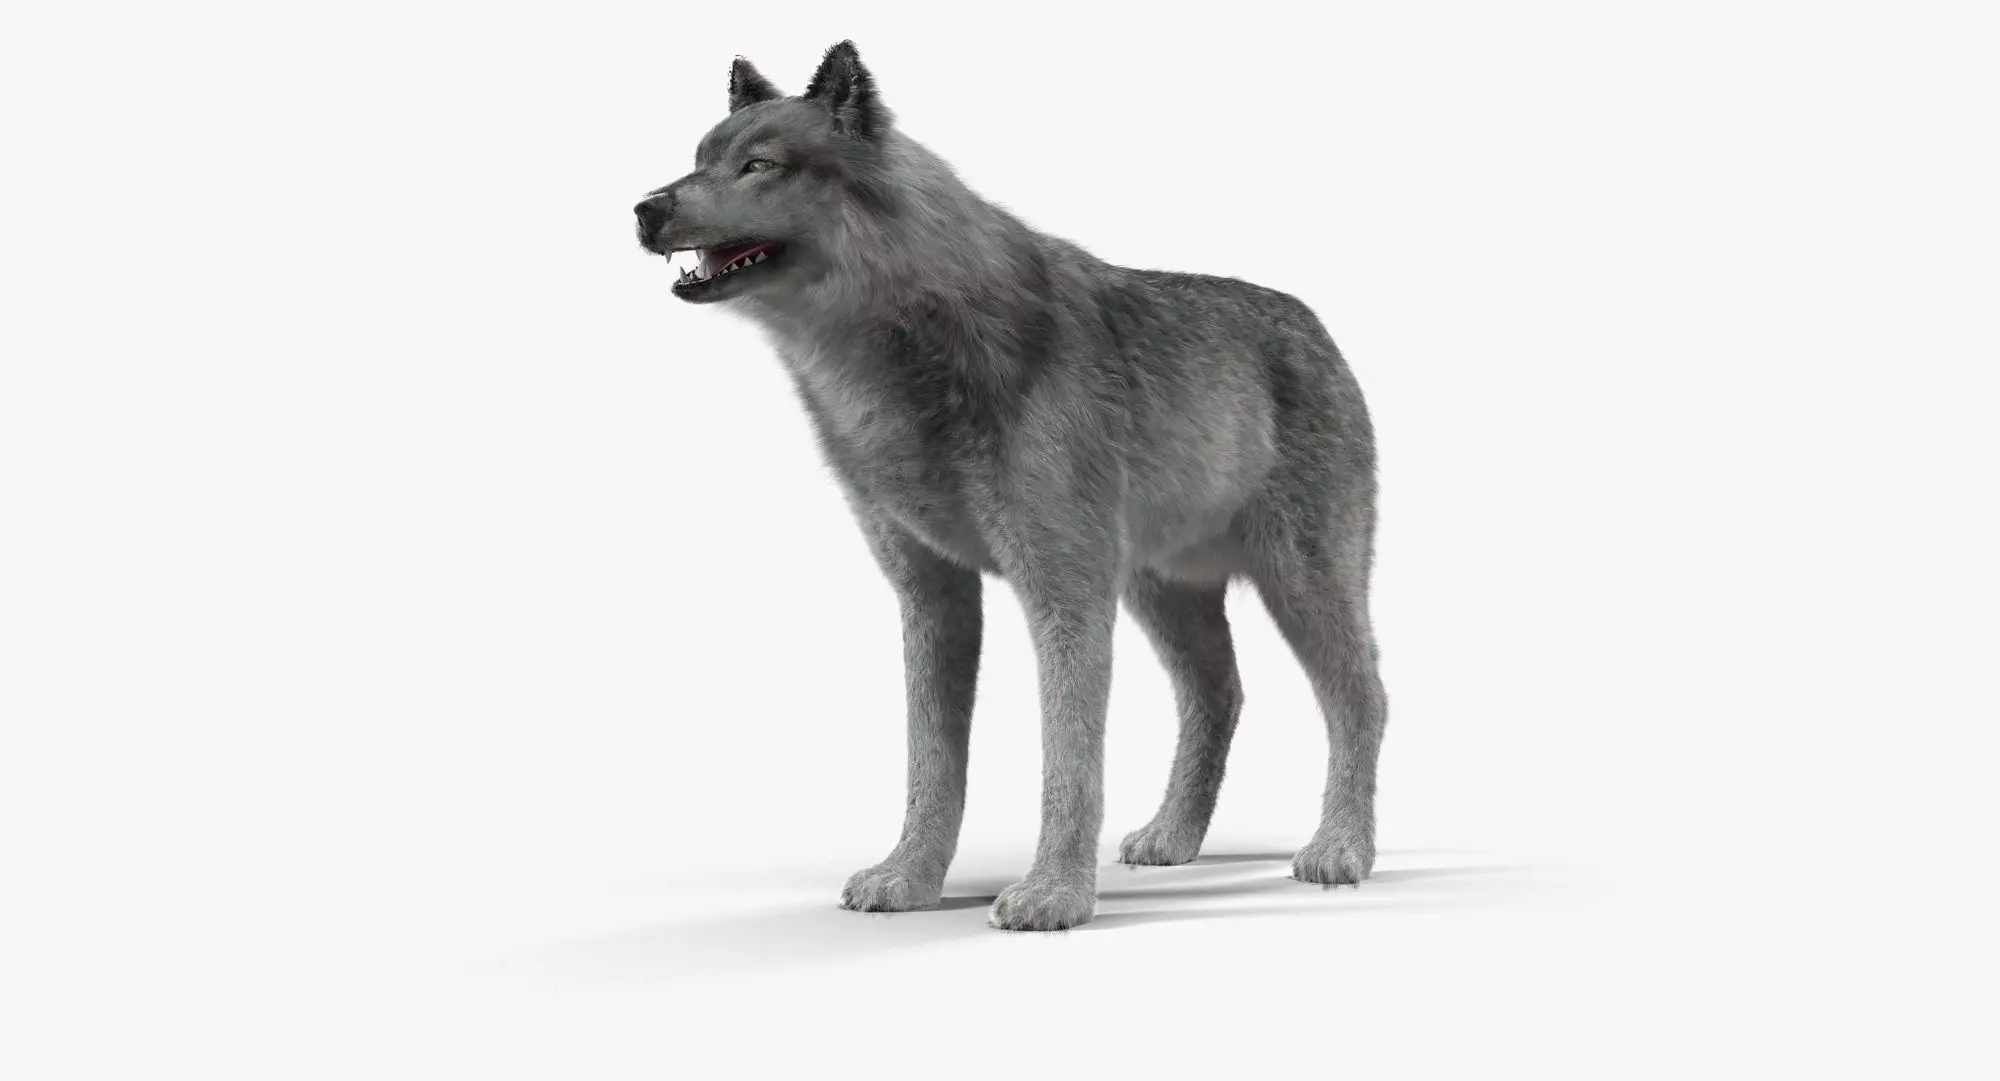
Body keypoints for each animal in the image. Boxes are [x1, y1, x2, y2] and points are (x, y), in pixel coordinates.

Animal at [635, 42, 1387, 931]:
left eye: (758, 165)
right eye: (697, 160)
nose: (643, 209)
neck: (895, 355)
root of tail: (1313, 323)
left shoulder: (1065, 591)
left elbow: (1067, 758)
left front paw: (1054, 895)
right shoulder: (933, 594)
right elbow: (931, 764)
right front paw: (910, 878)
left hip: (1299, 582)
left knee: (1363, 697)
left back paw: (1341, 850)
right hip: (1163, 594)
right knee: (1220, 694)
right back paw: (1173, 837)